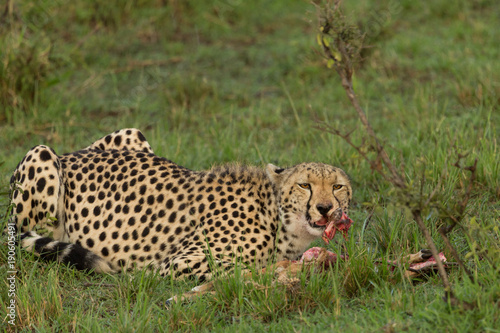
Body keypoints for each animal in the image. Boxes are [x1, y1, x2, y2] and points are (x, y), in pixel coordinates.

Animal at [7, 128, 352, 282]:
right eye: (305, 185)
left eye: (338, 187)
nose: (325, 208)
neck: (278, 221)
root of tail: (69, 154)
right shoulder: (177, 261)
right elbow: (241, 267)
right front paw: (283, 271)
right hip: (42, 157)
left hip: (132, 134)